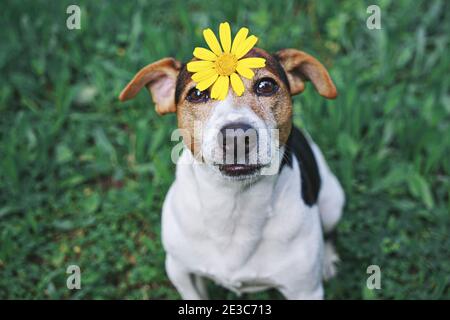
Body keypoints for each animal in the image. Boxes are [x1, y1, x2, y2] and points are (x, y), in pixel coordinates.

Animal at [118, 47, 344, 300]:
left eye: (266, 86)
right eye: (197, 93)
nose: (236, 136)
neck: (234, 200)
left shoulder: (305, 290)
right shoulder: (179, 271)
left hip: (333, 202)